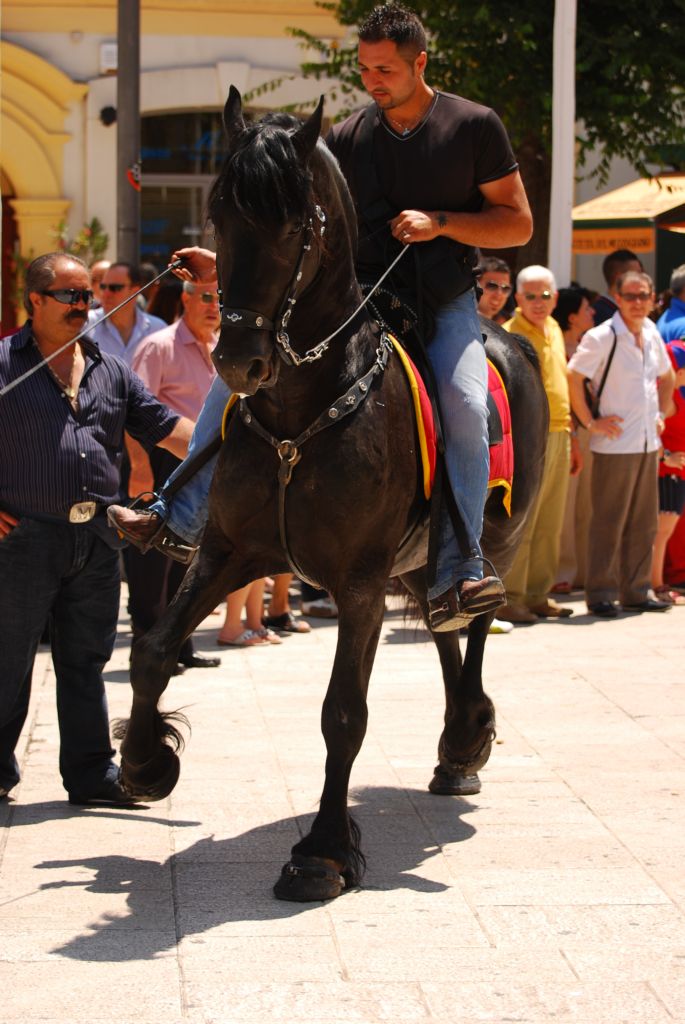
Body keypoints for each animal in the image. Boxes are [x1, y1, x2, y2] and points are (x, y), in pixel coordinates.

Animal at [117, 88, 549, 902]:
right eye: (216, 217)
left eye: (292, 225)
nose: (238, 360)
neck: (301, 412)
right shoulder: (230, 552)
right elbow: (154, 651)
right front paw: (146, 762)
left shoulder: (358, 583)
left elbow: (342, 713)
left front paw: (320, 851)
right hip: (420, 560)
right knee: (443, 628)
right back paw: (455, 747)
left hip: (491, 543)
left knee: (472, 618)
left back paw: (467, 735)